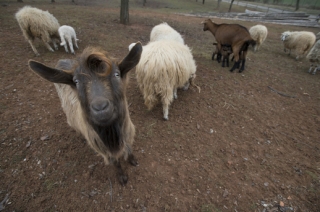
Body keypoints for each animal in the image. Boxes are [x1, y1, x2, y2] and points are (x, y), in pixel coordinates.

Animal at [28, 42, 143, 185]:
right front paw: (122, 177)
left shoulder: (127, 133)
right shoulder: (103, 148)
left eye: (117, 74)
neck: (111, 134)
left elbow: (129, 149)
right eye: (76, 82)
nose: (100, 108)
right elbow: (115, 162)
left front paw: (133, 160)